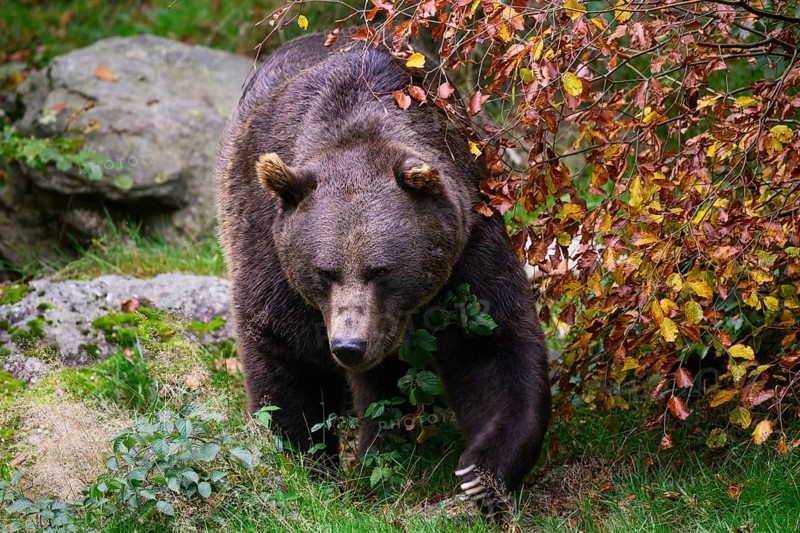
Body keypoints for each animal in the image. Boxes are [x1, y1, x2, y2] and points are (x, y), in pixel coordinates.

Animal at [215, 33, 551, 514]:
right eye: (325, 271)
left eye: (380, 271)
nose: (349, 345)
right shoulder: (270, 249)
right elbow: (285, 358)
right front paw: (307, 465)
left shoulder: (468, 243)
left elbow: (492, 345)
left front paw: (480, 474)